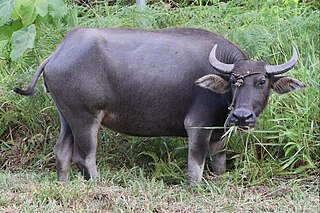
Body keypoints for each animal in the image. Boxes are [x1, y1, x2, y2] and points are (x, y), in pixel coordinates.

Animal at [14, 27, 304, 183]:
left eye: (262, 81)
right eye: (234, 80)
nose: (242, 116)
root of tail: (57, 53)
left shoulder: (218, 133)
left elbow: (219, 162)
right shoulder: (197, 126)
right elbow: (195, 165)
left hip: (66, 115)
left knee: (62, 152)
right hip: (85, 116)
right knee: (84, 156)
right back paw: (97, 183)